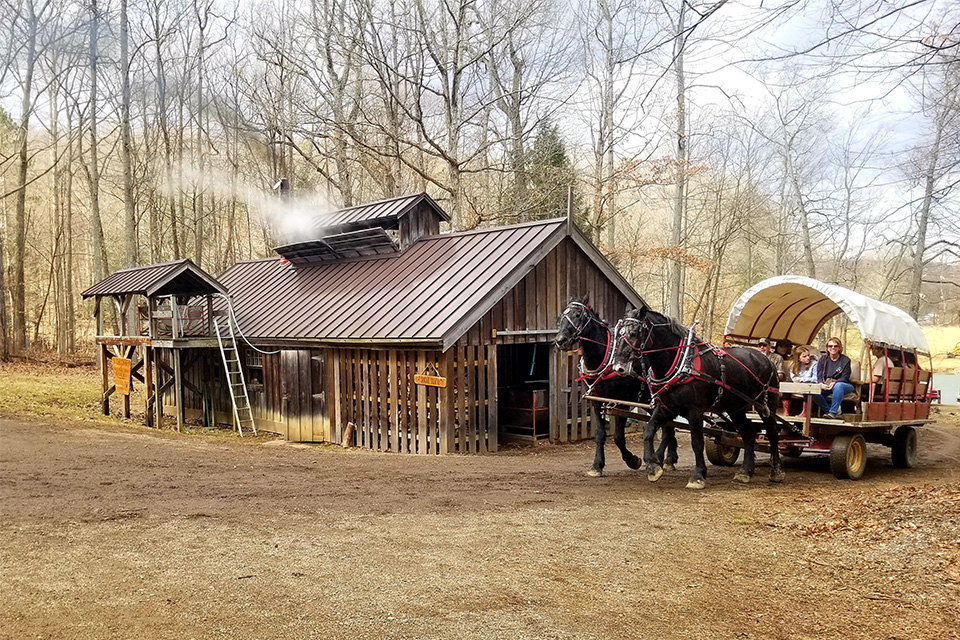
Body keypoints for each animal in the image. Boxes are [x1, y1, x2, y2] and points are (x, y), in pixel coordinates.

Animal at [552, 298, 680, 476]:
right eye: (562, 315)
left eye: (577, 315)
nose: (560, 340)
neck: (603, 357)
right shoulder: (596, 401)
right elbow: (600, 434)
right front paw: (597, 466)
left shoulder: (621, 403)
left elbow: (619, 438)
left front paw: (633, 460)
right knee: (669, 427)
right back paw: (669, 459)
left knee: (668, 428)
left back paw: (661, 459)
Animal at [612, 304, 784, 490]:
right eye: (617, 332)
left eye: (633, 333)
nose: (619, 366)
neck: (681, 362)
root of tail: (765, 358)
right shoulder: (665, 408)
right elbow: (649, 431)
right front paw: (653, 467)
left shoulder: (695, 412)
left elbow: (697, 443)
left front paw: (698, 476)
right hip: (736, 409)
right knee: (748, 434)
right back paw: (746, 472)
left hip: (766, 405)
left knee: (773, 433)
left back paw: (776, 471)